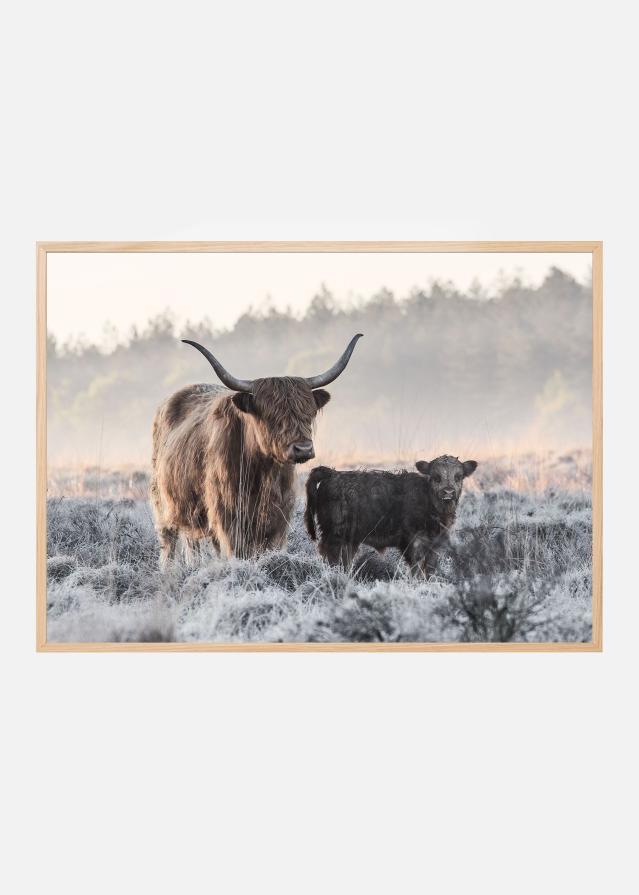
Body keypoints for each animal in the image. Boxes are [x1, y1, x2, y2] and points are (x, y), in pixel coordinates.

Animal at [150, 334, 363, 565]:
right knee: (168, 544)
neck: (263, 472)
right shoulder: (228, 517)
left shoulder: (279, 519)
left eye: (309, 413)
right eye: (271, 417)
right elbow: (237, 552)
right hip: (163, 505)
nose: (303, 449)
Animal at [304, 455, 478, 575]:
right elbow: (416, 568)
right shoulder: (414, 542)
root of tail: (332, 474)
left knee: (344, 560)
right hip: (335, 535)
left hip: (349, 540)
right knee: (332, 558)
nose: (448, 492)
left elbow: (429, 569)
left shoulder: (435, 544)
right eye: (436, 477)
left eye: (458, 476)